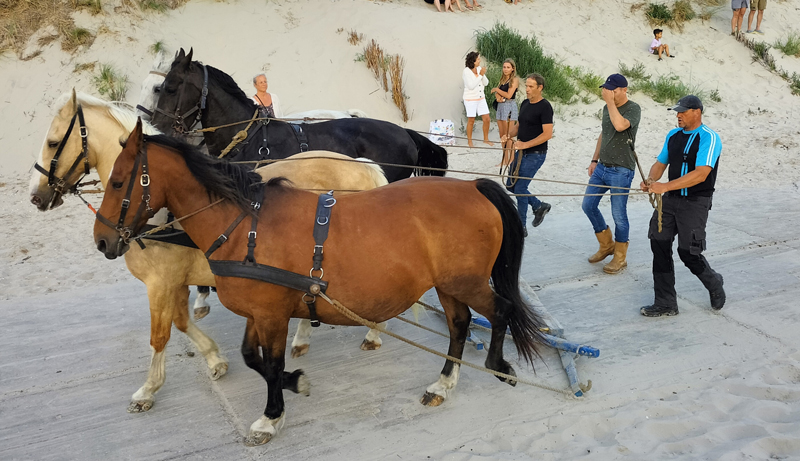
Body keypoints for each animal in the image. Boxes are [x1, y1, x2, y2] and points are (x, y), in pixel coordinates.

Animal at [25, 90, 388, 414]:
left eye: (53, 143)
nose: (35, 196)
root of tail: (362, 166)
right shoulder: (176, 281)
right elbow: (182, 322)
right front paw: (214, 358)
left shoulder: (160, 284)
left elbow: (160, 334)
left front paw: (149, 388)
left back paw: (370, 331)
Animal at [92, 119, 544, 446]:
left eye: (118, 181)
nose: (102, 241)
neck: (245, 225)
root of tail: (473, 186)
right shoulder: (261, 311)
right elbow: (251, 358)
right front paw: (293, 383)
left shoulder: (271, 315)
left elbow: (270, 364)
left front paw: (271, 415)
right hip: (449, 285)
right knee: (460, 325)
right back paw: (445, 381)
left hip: (465, 281)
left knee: (500, 311)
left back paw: (497, 364)